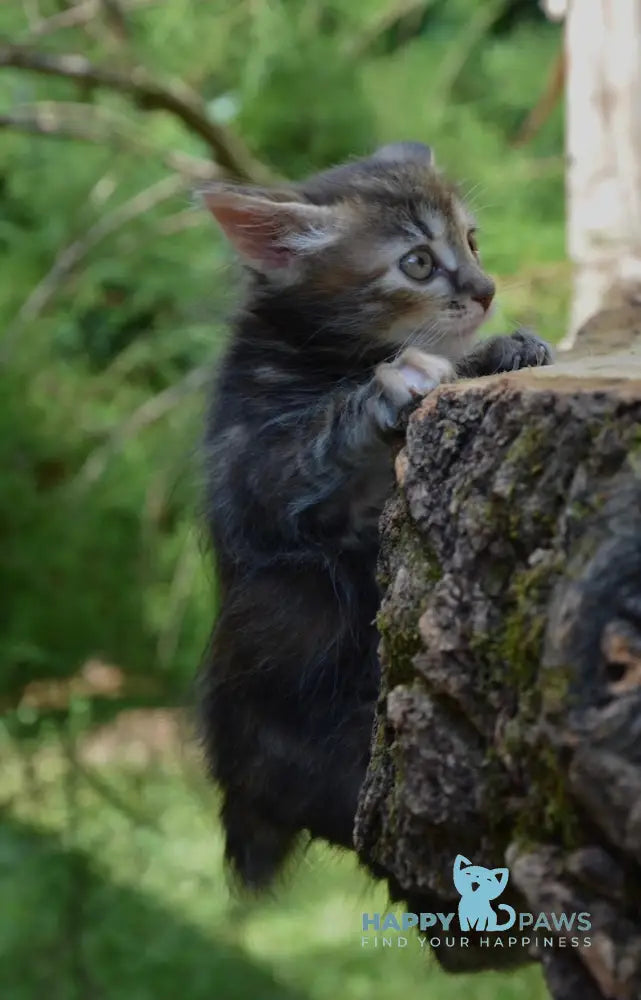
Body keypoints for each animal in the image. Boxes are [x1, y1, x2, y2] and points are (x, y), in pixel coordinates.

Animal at [196, 143, 552, 892]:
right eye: (417, 262)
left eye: (471, 240)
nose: (486, 289)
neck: (322, 352)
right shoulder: (254, 475)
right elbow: (323, 435)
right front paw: (387, 390)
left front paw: (502, 349)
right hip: (289, 613)